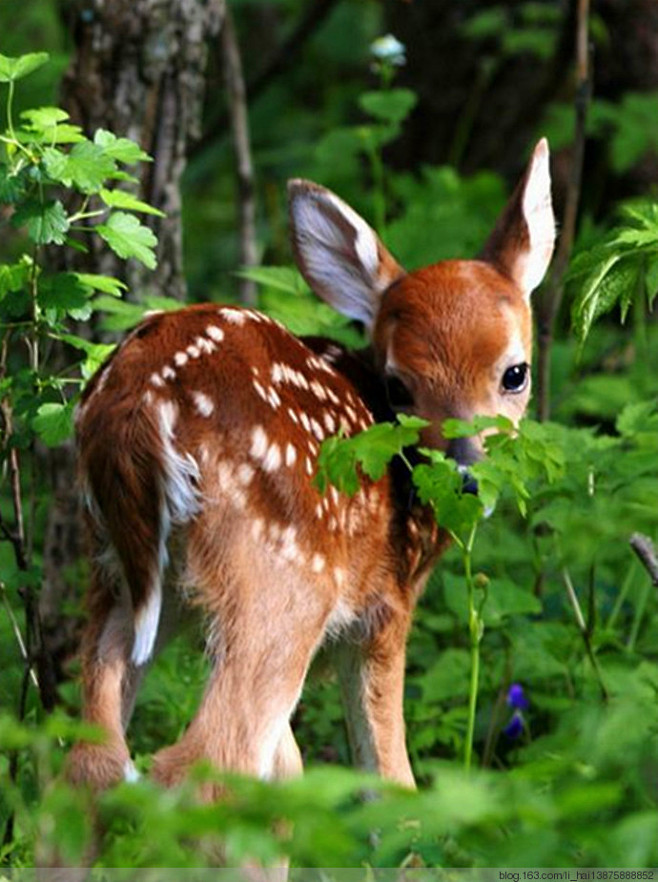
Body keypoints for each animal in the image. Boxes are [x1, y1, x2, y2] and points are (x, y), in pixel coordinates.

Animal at [66, 139, 552, 792]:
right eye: (398, 386)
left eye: (514, 373)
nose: (466, 478)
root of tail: (137, 406)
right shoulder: (382, 609)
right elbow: (388, 775)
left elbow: (289, 767)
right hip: (284, 577)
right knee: (205, 761)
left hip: (121, 573)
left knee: (92, 759)